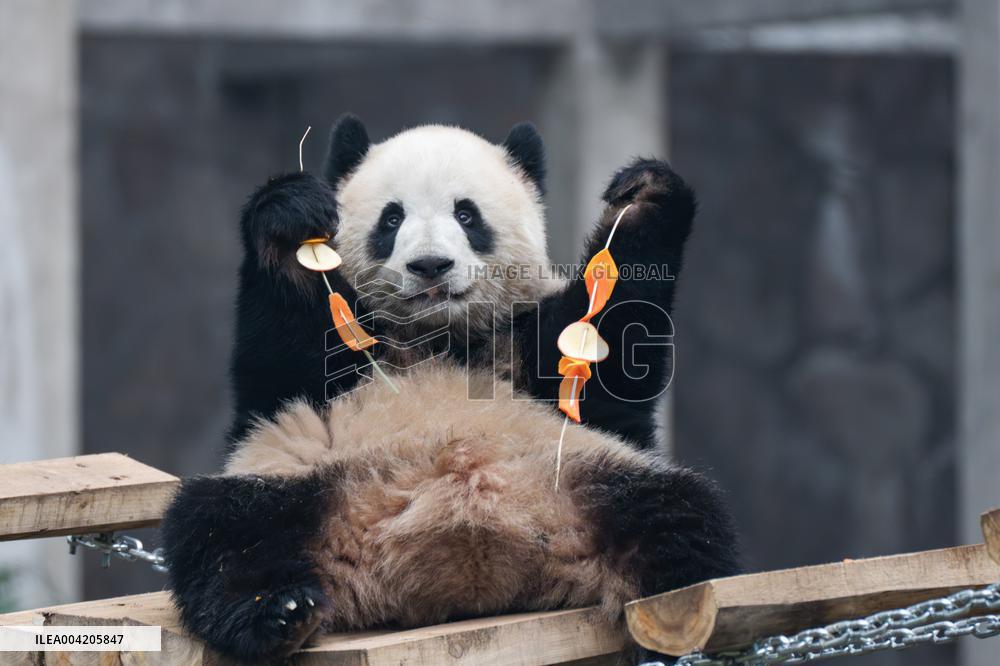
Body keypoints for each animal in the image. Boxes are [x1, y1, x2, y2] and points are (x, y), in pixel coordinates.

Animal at [161, 114, 740, 663]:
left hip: (587, 473)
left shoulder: (528, 344)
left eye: (467, 215)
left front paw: (644, 195)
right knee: (221, 530)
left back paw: (675, 617)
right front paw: (290, 219)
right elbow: (280, 368)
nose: (430, 266)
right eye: (391, 218)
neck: (439, 336)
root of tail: (459, 574)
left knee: (681, 524)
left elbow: (614, 363)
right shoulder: (327, 373)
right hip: (296, 477)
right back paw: (278, 612)